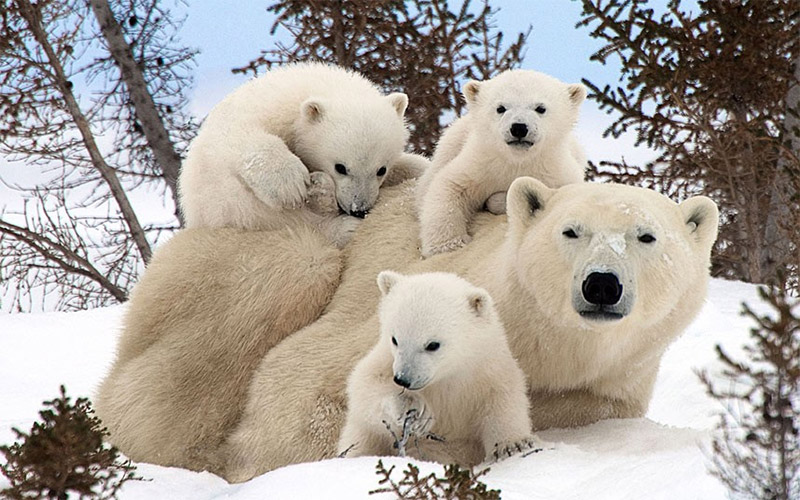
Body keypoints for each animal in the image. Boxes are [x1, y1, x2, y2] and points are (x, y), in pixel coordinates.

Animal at [180, 62, 432, 248]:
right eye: (340, 167)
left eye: (381, 169)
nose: (358, 209)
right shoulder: (256, 112)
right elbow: (242, 135)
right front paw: (289, 184)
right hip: (230, 206)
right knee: (286, 220)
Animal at [338, 270, 536, 464]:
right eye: (394, 339)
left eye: (433, 345)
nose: (403, 379)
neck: (447, 376)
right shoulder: (385, 359)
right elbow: (364, 385)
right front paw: (414, 408)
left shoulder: (489, 369)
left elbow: (504, 399)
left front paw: (512, 445)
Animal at [418, 68, 588, 256]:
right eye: (500, 108)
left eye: (540, 108)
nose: (519, 127)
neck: (517, 161)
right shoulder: (480, 164)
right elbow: (450, 186)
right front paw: (448, 245)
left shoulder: (556, 173)